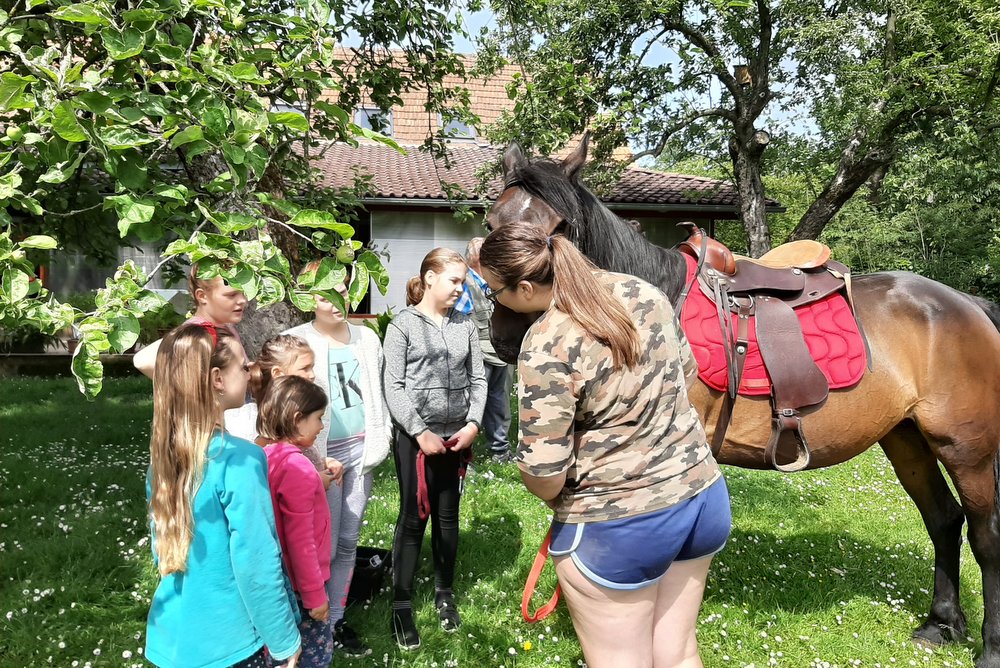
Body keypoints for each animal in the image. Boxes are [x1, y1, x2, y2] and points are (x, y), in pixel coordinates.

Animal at [486, 138, 1000, 664]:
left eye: (561, 228)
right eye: (489, 223)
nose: (504, 335)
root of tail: (968, 304)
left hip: (966, 448)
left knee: (985, 536)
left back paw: (989, 646)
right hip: (906, 439)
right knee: (943, 518)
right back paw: (941, 623)